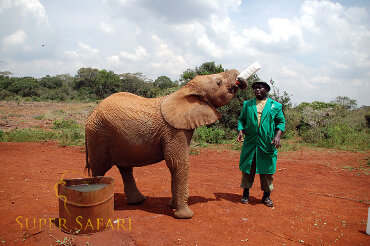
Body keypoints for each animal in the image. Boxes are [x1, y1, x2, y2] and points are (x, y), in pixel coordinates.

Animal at [84, 69, 246, 219]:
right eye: (218, 82)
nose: (240, 78)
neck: (185, 90)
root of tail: (91, 114)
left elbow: (174, 164)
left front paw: (172, 206)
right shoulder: (173, 129)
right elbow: (177, 162)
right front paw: (185, 216)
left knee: (125, 168)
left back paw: (138, 201)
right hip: (98, 136)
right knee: (99, 169)